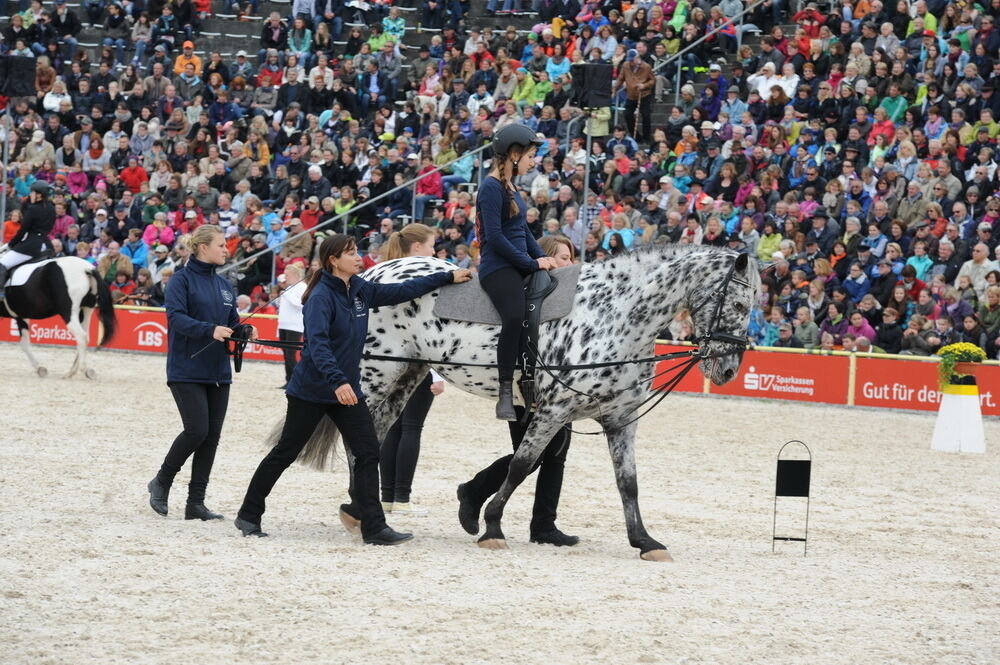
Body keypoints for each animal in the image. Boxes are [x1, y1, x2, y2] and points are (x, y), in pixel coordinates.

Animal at [294, 244, 756, 560]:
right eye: (738, 302)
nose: (728, 369)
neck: (613, 314)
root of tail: (371, 273)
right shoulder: (553, 411)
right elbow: (521, 464)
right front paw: (492, 526)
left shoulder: (620, 419)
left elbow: (628, 482)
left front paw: (645, 541)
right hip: (374, 376)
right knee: (359, 436)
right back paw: (362, 511)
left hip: (407, 376)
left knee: (373, 435)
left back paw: (362, 510)